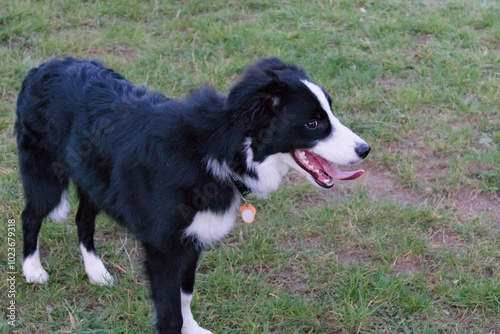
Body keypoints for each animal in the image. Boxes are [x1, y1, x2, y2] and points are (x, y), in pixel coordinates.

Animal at [15, 58, 370, 334]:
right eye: (313, 122)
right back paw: (32, 270)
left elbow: (184, 294)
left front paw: (192, 327)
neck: (221, 153)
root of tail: (43, 67)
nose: (365, 150)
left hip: (93, 182)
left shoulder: (192, 239)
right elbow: (169, 311)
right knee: (30, 216)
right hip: (46, 177)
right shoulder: (162, 248)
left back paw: (95, 270)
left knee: (83, 219)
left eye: (330, 113)